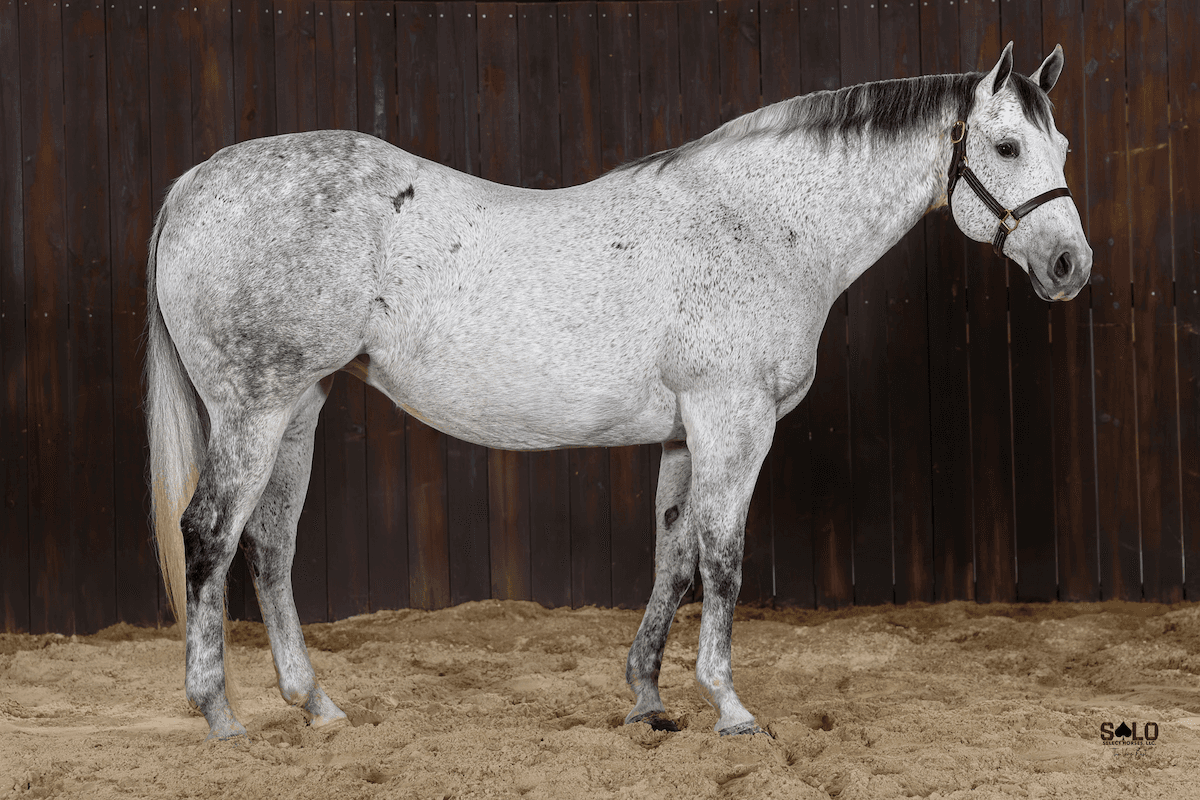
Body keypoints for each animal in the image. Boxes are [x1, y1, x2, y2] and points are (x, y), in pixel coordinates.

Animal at [146, 42, 1092, 741]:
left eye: (1061, 149)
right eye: (1006, 147)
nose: (1068, 267)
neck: (760, 225)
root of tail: (192, 183)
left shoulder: (683, 432)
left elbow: (673, 558)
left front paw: (649, 699)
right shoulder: (732, 422)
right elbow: (723, 559)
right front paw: (730, 707)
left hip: (298, 409)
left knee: (269, 546)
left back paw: (315, 705)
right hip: (253, 410)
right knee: (209, 536)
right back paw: (219, 715)